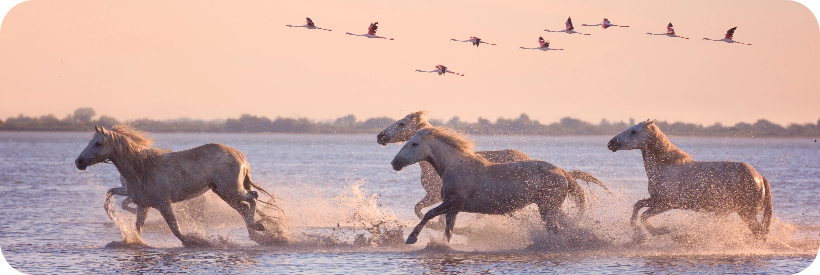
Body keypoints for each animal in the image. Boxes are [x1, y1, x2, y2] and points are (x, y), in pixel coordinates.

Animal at [74, 126, 272, 247]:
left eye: (97, 143)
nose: (78, 162)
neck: (142, 170)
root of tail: (239, 154)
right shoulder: (142, 205)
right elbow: (136, 228)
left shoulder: (164, 204)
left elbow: (176, 230)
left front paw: (196, 242)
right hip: (223, 193)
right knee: (243, 208)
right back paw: (257, 234)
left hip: (231, 190)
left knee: (253, 197)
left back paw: (258, 227)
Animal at [604, 120, 772, 242]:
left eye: (633, 131)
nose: (610, 143)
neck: (665, 167)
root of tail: (760, 179)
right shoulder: (655, 200)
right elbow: (637, 206)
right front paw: (637, 233)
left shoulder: (666, 204)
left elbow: (644, 216)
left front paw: (660, 231)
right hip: (726, 212)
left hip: (746, 214)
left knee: (761, 234)